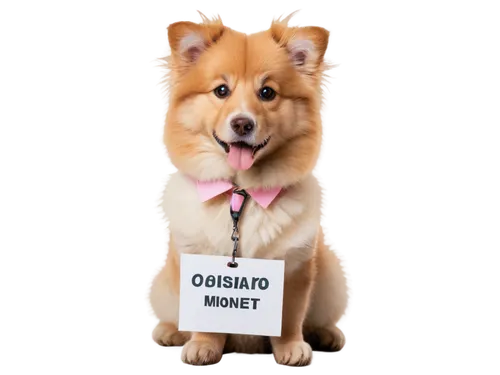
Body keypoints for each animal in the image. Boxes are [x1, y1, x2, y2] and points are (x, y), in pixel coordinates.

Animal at [145, 8, 352, 370]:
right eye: (221, 90)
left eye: (267, 93)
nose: (242, 123)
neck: (242, 195)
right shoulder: (196, 263)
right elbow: (205, 319)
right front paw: (203, 347)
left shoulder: (294, 268)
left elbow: (288, 317)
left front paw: (291, 348)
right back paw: (170, 332)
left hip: (332, 279)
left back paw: (327, 335)